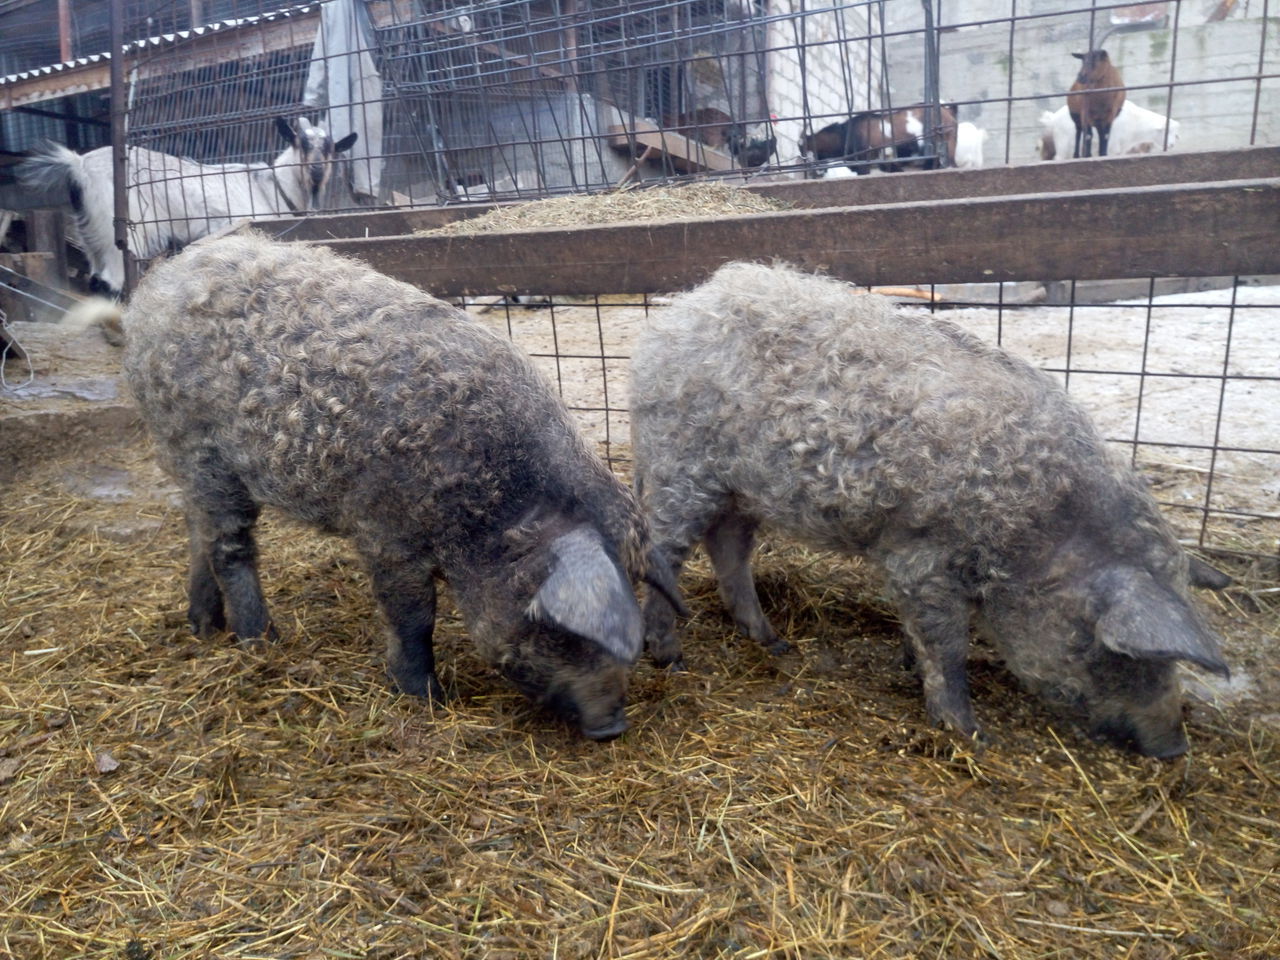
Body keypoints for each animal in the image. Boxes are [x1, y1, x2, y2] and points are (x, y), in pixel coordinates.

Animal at [20, 114, 358, 293]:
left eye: (331, 148)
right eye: (300, 143)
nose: (316, 171)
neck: (271, 186)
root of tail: (78, 164)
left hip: (91, 235)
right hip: (116, 231)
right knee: (112, 281)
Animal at [123, 232, 686, 742]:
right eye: (559, 632)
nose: (611, 727)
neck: (493, 510)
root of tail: (164, 279)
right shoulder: (385, 530)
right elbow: (413, 615)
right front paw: (428, 698)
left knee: (196, 531)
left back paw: (203, 627)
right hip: (201, 449)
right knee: (229, 545)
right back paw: (263, 643)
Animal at [629, 261, 1228, 757]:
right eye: (1117, 653)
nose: (1173, 747)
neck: (1038, 531)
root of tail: (673, 319)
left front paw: (911, 669)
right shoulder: (922, 555)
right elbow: (947, 645)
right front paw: (969, 734)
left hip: (740, 489)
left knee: (729, 547)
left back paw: (775, 643)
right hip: (681, 467)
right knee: (664, 551)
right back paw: (670, 657)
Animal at [1039, 101, 1177, 161]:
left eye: (1175, 133)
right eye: (1166, 130)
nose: (1171, 144)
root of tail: (1053, 118)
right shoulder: (1113, 143)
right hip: (1063, 140)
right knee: (1060, 156)